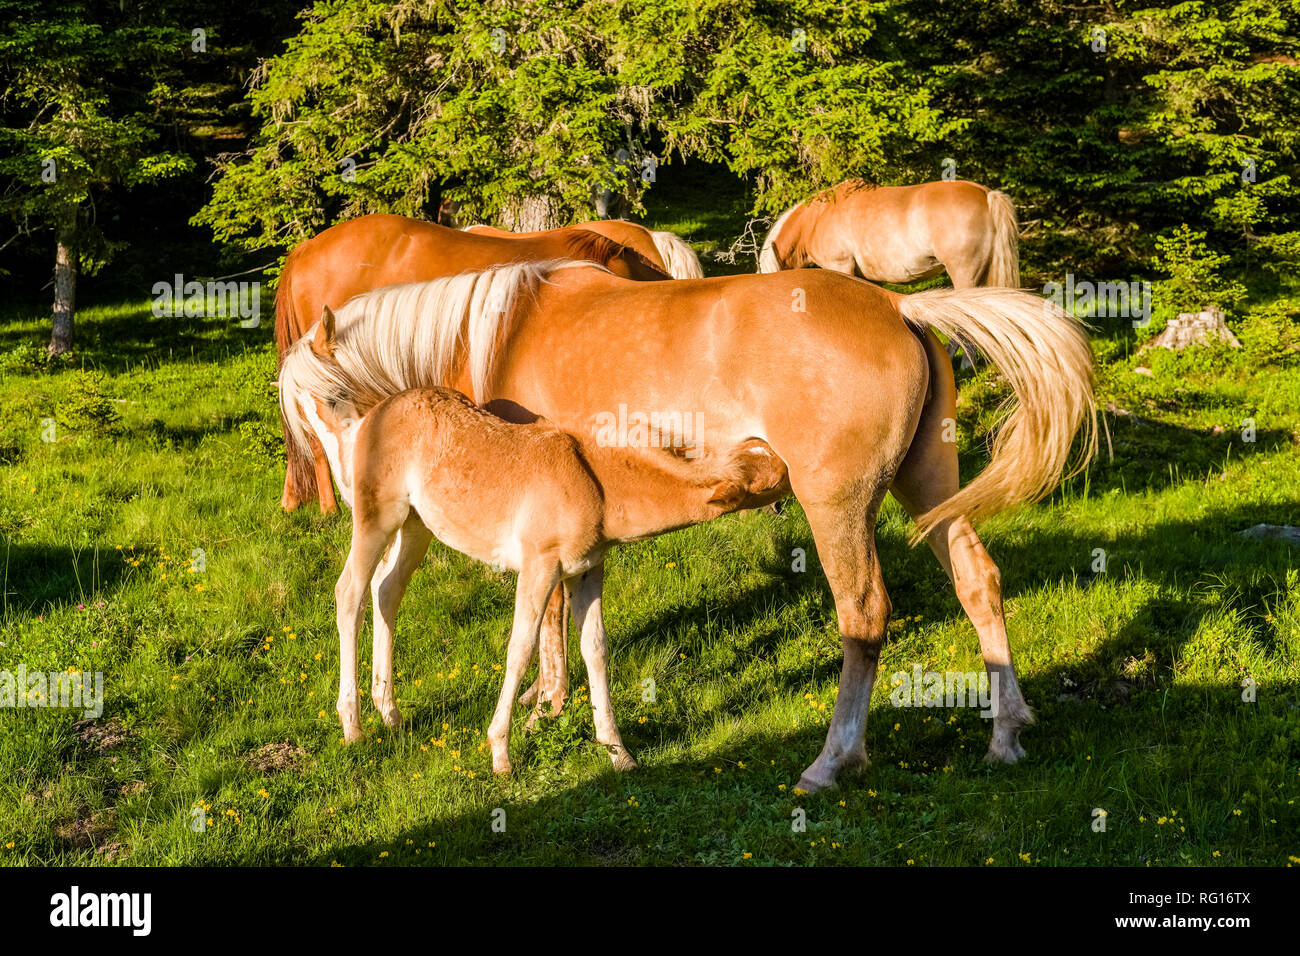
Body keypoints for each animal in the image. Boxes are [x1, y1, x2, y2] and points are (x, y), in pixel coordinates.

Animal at [280, 362, 787, 774]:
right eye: (767, 479)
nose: (793, 474)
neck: (597, 486)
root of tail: (368, 418)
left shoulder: (587, 570)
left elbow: (595, 649)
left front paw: (618, 752)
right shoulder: (539, 566)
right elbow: (520, 649)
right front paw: (500, 753)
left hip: (416, 524)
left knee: (387, 590)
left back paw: (391, 713)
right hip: (376, 517)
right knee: (350, 592)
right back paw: (354, 727)